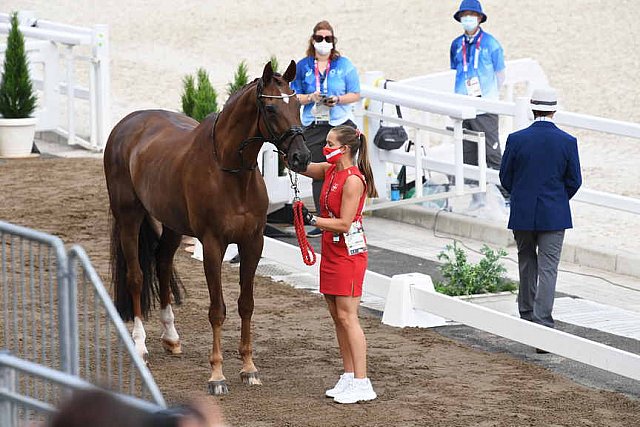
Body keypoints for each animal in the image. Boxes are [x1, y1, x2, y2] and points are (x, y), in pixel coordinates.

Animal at [104, 61, 312, 396]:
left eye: (297, 105)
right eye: (270, 108)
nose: (301, 157)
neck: (231, 173)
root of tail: (127, 124)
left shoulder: (252, 244)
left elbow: (246, 305)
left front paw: (248, 368)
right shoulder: (213, 245)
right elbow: (217, 309)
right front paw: (217, 375)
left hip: (173, 225)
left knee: (162, 263)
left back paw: (171, 338)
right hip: (129, 216)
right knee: (136, 276)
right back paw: (140, 345)